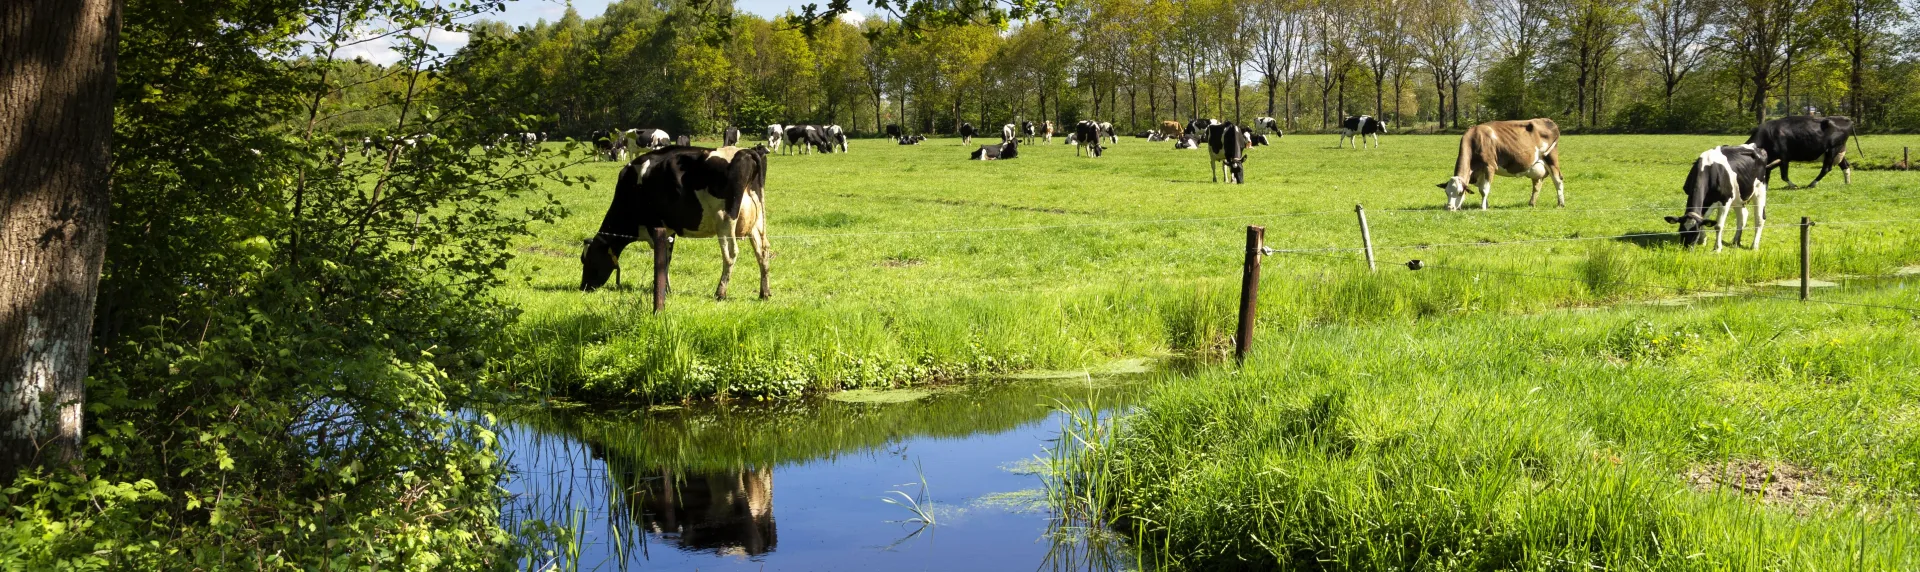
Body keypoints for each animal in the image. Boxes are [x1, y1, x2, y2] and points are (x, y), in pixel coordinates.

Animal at [578, 145, 772, 305]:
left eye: (588, 260)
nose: (583, 287)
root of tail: (746, 151)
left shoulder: (654, 227)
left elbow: (662, 258)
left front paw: (662, 289)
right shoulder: (668, 230)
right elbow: (666, 259)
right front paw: (666, 289)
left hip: (724, 219)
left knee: (731, 253)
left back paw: (720, 293)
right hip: (757, 221)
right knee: (763, 251)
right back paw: (765, 293)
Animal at [1437, 118, 1567, 211]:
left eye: (1460, 192)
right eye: (1446, 192)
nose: (1450, 208)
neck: (1475, 140)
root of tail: (1548, 121)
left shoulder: (1489, 166)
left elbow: (1484, 189)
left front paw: (1483, 208)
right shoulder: (1480, 171)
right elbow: (1481, 189)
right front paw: (1486, 204)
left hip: (1551, 158)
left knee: (1558, 181)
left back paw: (1561, 204)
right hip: (1535, 166)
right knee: (1537, 184)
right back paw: (1531, 203)